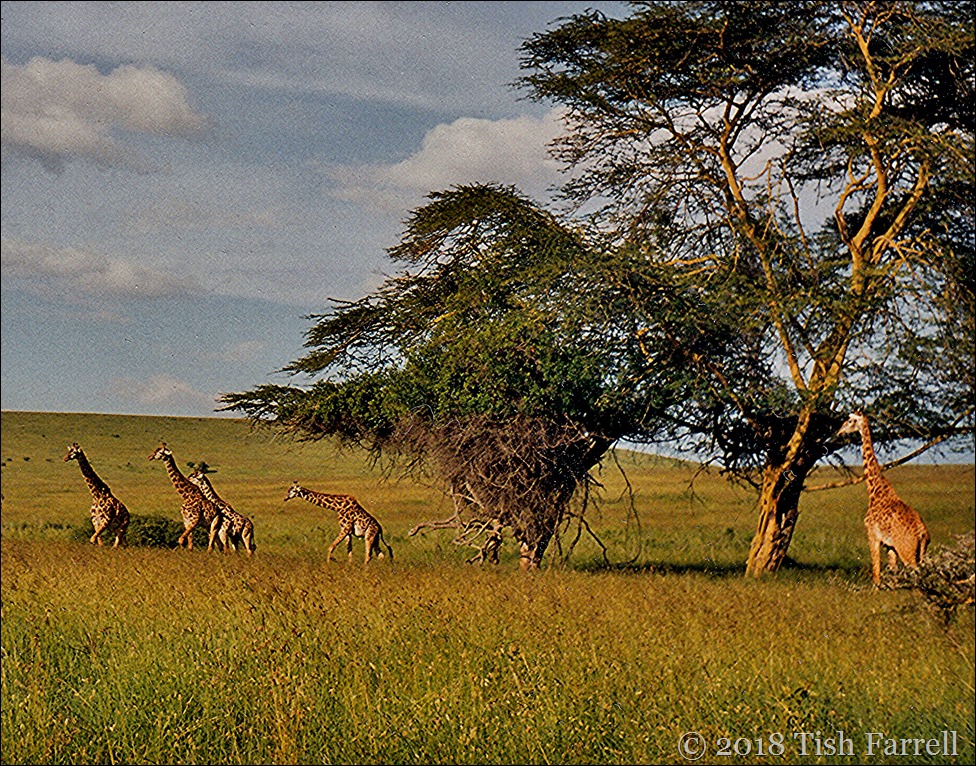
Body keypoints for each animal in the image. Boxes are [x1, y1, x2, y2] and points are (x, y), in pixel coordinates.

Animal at [838, 410, 930, 585]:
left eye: (850, 420)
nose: (839, 432)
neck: (875, 491)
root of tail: (923, 533)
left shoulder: (873, 536)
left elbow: (876, 574)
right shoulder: (890, 546)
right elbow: (891, 573)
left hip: (907, 551)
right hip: (921, 553)